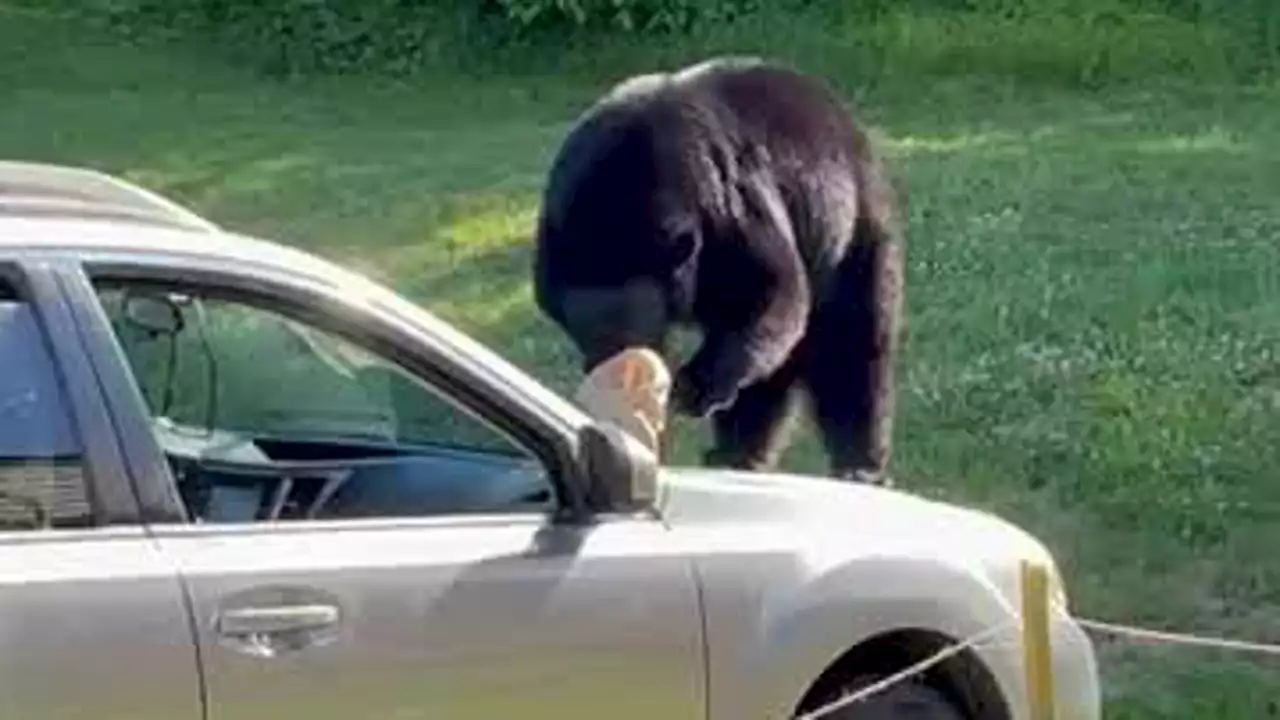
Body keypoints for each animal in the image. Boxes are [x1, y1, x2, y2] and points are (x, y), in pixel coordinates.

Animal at [535, 56, 906, 481]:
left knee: (851, 349)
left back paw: (859, 465)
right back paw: (737, 453)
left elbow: (772, 290)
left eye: (629, 314)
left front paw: (693, 387)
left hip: (853, 236)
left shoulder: (726, 205)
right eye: (585, 324)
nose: (609, 362)